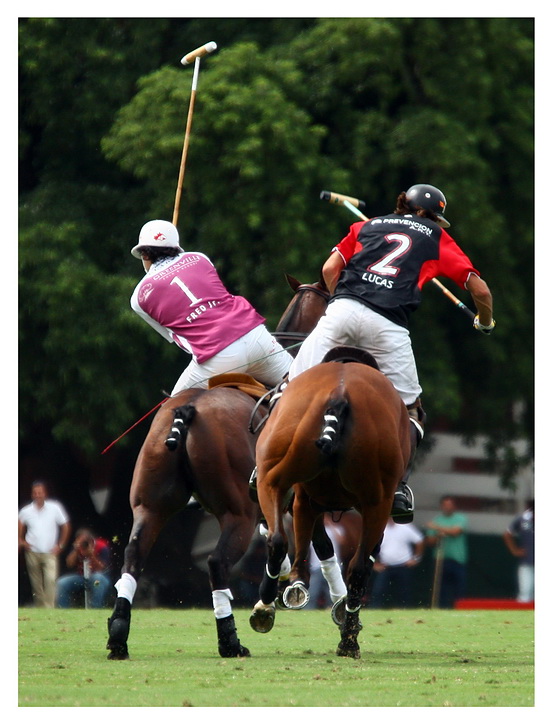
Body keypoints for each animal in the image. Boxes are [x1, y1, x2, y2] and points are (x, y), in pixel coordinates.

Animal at [106, 275, 345, 660]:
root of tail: (186, 410)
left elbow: (281, 541)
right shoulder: (299, 496)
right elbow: (319, 545)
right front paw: (335, 607)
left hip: (150, 503)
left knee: (133, 553)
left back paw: (118, 636)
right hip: (237, 512)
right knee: (217, 563)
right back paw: (230, 641)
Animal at [249, 289, 411, 658]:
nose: (282, 341)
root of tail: (340, 393)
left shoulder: (302, 498)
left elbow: (312, 543)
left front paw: (295, 589)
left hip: (273, 479)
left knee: (278, 539)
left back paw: (266, 608)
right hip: (377, 501)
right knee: (359, 568)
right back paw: (348, 641)